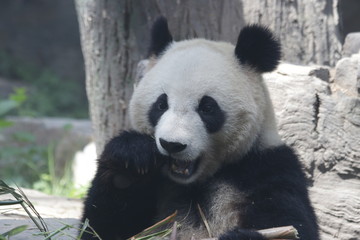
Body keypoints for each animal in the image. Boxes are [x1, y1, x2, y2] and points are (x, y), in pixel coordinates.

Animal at [81, 17, 318, 240]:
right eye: (161, 104)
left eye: (207, 107)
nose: (172, 145)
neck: (194, 183)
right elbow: (101, 228)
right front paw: (131, 156)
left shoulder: (266, 167)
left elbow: (291, 224)